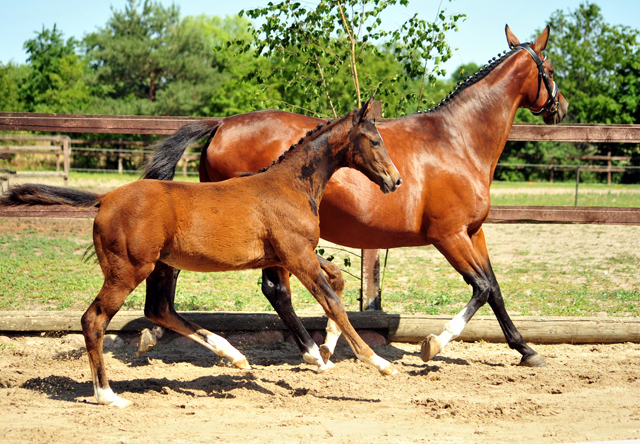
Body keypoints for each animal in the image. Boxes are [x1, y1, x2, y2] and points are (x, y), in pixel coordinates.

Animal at [0, 99, 400, 408]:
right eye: (374, 140)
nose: (395, 180)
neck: (290, 185)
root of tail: (105, 198)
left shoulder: (292, 254)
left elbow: (335, 281)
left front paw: (326, 351)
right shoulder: (296, 256)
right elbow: (332, 301)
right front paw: (379, 363)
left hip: (161, 266)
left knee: (158, 309)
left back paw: (234, 355)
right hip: (128, 270)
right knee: (94, 319)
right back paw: (107, 395)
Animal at [142, 26, 568, 370]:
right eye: (548, 67)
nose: (561, 108)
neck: (457, 140)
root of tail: (221, 126)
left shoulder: (473, 231)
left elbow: (494, 288)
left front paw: (526, 350)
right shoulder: (448, 235)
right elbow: (480, 288)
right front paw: (433, 344)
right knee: (276, 290)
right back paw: (307, 352)